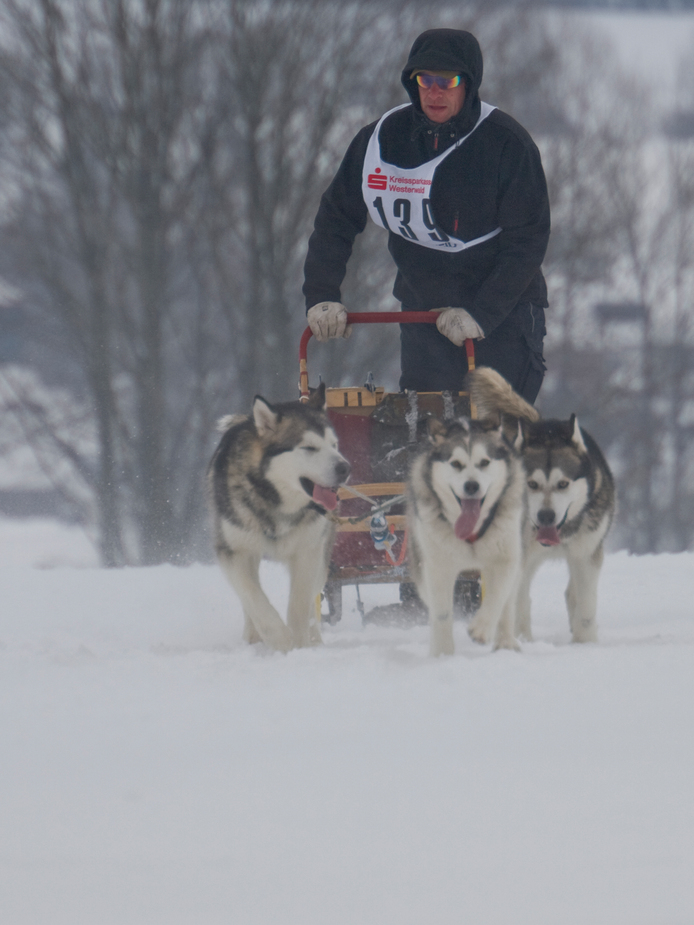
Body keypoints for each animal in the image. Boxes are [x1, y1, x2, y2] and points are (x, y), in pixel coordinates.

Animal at [207, 386, 348, 652]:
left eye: (334, 445)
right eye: (309, 448)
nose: (345, 468)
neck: (275, 501)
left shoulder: (308, 551)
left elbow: (300, 606)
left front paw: (300, 645)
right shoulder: (234, 551)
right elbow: (253, 598)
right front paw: (281, 640)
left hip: (323, 554)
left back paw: (314, 639)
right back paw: (252, 636)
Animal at [406, 416, 524, 652]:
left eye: (485, 462)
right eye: (456, 464)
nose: (471, 485)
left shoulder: (505, 559)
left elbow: (497, 596)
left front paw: (481, 629)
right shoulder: (437, 567)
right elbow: (442, 612)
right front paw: (443, 653)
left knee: (507, 602)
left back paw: (505, 642)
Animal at [470, 366, 616, 644]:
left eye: (563, 484)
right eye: (532, 484)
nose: (546, 516)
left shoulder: (586, 553)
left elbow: (586, 604)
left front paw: (585, 641)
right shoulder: (517, 555)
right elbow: (516, 598)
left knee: (570, 594)